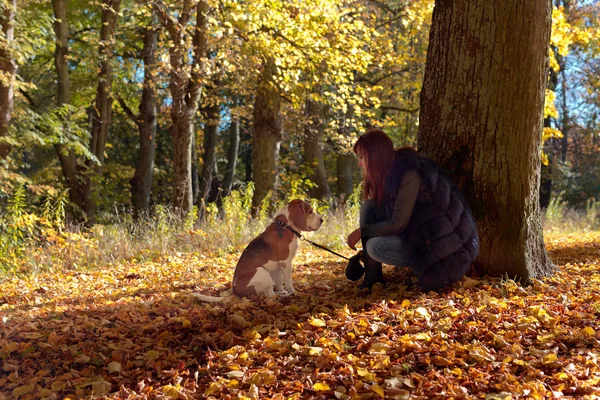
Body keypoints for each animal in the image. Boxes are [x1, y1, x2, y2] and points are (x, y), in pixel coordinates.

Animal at [193, 198, 324, 302]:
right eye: (310, 211)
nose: (322, 220)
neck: (286, 227)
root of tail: (235, 292)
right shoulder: (285, 262)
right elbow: (288, 282)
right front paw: (293, 293)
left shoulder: (278, 266)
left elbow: (279, 282)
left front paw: (282, 291)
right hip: (262, 272)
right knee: (270, 295)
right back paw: (282, 296)